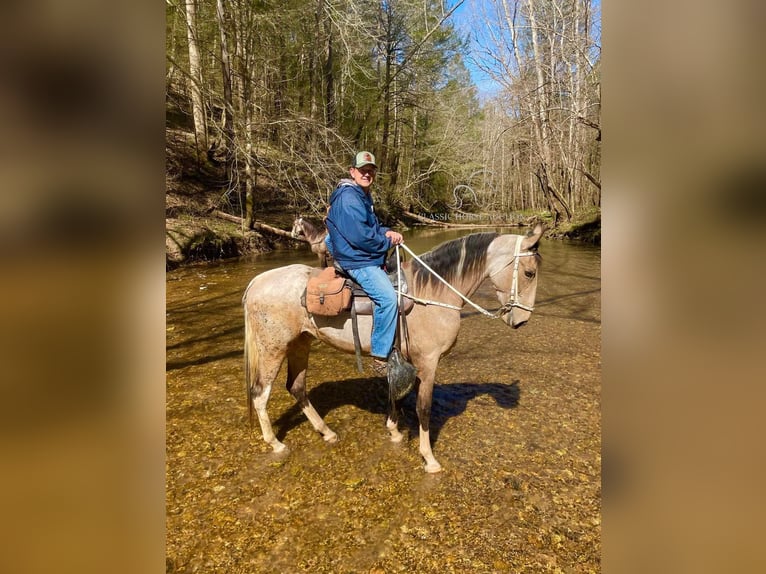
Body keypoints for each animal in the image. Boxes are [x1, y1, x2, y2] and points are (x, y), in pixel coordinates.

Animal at [243, 225, 544, 472]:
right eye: (529, 273)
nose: (521, 321)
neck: (432, 293)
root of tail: (257, 282)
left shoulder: (405, 360)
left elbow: (397, 394)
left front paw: (394, 431)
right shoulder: (429, 363)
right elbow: (423, 408)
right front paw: (429, 459)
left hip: (300, 343)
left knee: (296, 387)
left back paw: (326, 432)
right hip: (273, 349)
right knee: (260, 393)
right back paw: (275, 443)